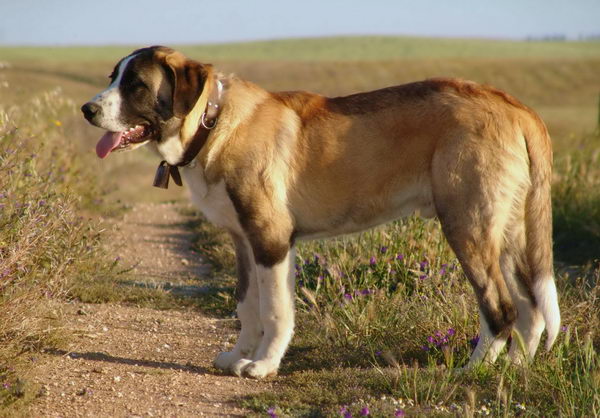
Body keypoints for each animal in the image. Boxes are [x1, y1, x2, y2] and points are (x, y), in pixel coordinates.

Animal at [82, 45, 560, 378]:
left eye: (137, 85)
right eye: (113, 77)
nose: (87, 109)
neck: (211, 123)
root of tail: (516, 107)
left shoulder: (271, 240)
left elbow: (275, 310)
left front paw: (263, 365)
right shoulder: (243, 242)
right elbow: (247, 306)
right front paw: (239, 356)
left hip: (468, 226)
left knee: (500, 308)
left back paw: (472, 371)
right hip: (507, 234)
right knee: (531, 308)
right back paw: (516, 370)